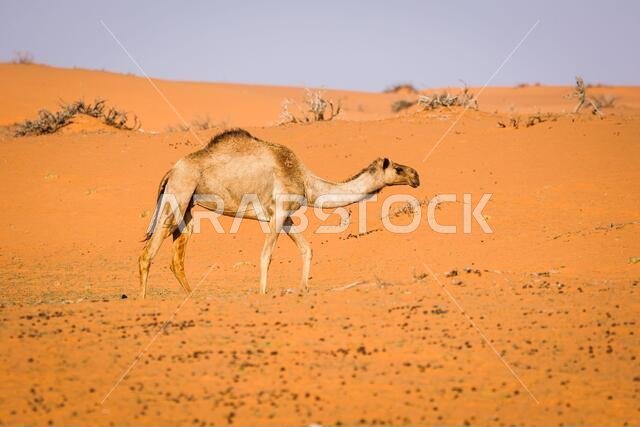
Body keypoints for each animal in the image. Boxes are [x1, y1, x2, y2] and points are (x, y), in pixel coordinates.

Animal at [139, 128, 420, 298]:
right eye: (397, 168)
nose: (416, 175)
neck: (306, 181)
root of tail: (172, 170)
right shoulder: (279, 211)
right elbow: (266, 255)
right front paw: (263, 294)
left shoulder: (285, 216)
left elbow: (306, 248)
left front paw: (303, 289)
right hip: (179, 194)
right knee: (147, 253)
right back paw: (143, 300)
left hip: (187, 207)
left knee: (177, 257)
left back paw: (191, 296)